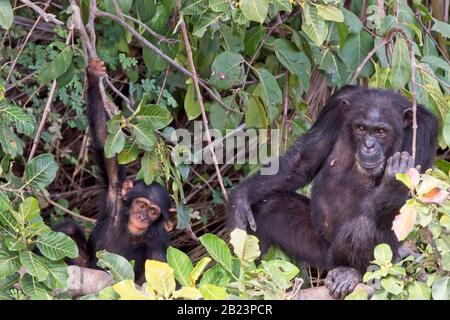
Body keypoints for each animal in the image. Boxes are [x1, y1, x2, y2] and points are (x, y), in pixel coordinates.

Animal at [55, 58, 171, 282]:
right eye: (141, 205)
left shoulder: (158, 244)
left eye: (153, 211)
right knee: (67, 229)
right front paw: (93, 75)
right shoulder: (115, 192)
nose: (142, 218)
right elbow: (104, 141)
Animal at [227, 84, 438, 298]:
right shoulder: (334, 108)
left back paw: (350, 272)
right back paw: (249, 279)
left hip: (378, 256)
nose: (369, 146)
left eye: (380, 131)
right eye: (361, 128)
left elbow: (406, 199)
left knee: (365, 224)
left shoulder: (424, 132)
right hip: (317, 247)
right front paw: (240, 200)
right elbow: (304, 161)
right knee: (267, 207)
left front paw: (393, 181)